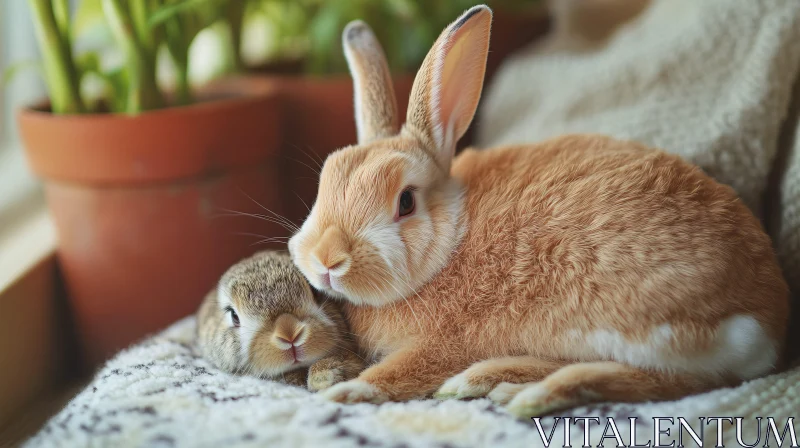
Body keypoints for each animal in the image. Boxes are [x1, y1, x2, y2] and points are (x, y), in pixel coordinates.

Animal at [284, 3, 792, 418]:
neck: (451, 241)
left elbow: (403, 371)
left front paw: (347, 394)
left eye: (405, 201)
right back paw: (497, 384)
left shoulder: (446, 341)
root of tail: (769, 315)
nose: (326, 260)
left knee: (671, 381)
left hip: (626, 320)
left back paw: (516, 391)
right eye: (326, 180)